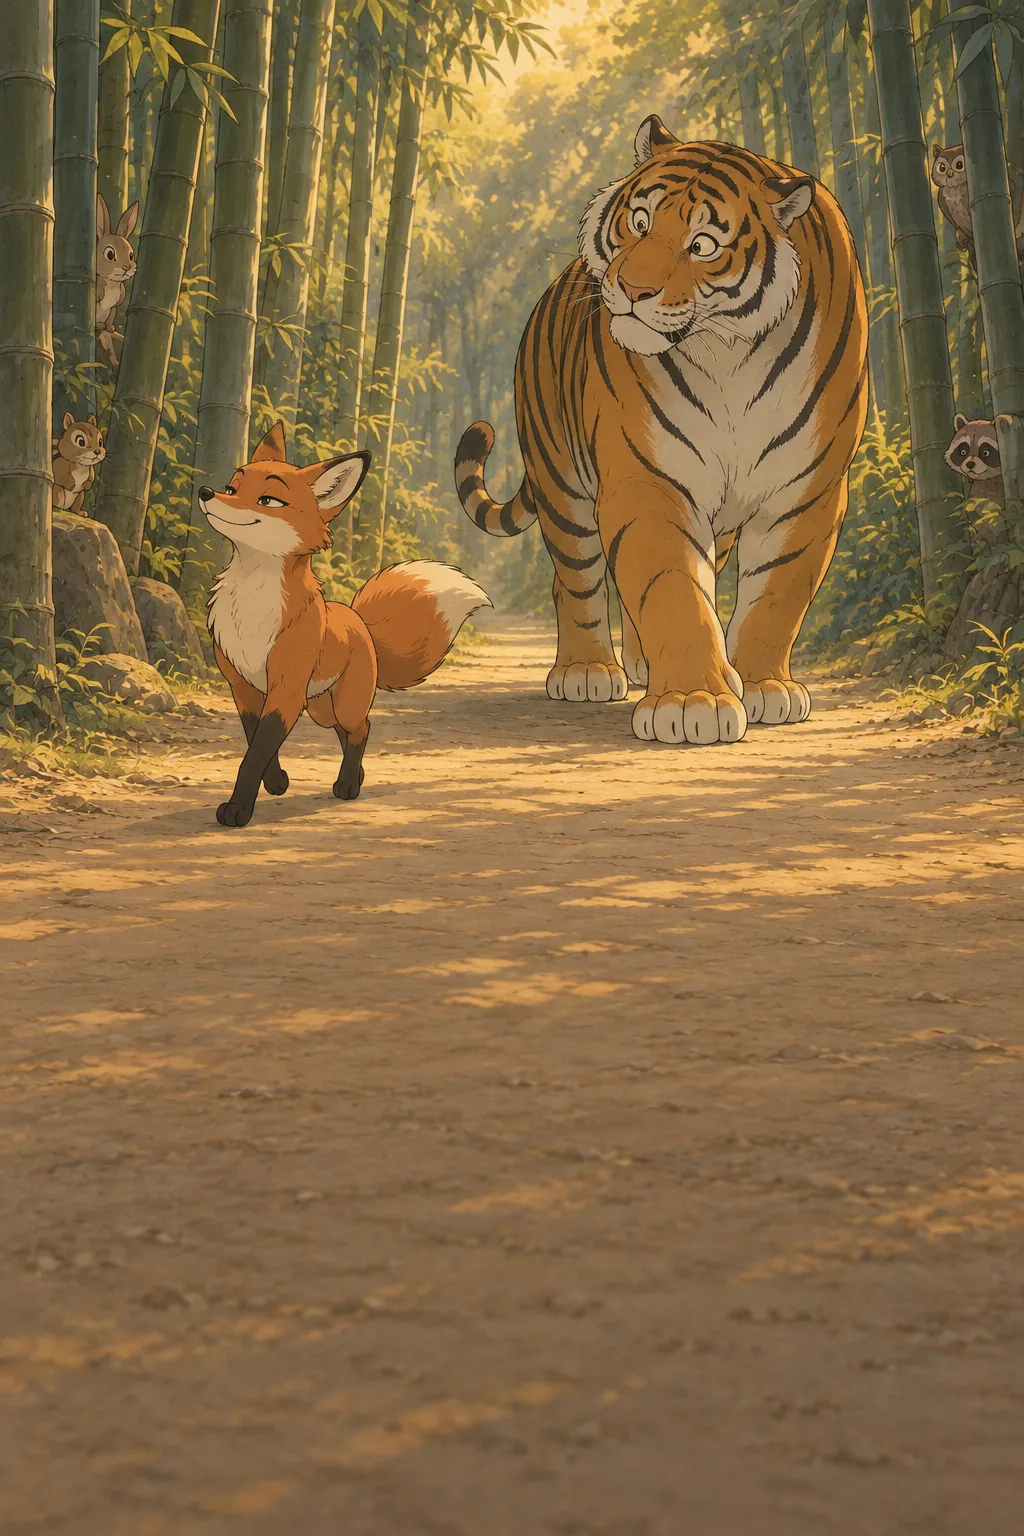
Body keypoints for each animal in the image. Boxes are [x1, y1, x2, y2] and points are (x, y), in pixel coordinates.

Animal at [201, 421, 490, 828]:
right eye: (232, 488)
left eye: (268, 501)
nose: (206, 492)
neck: (253, 605)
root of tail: (360, 621)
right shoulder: (243, 688)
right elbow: (256, 742)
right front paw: (276, 782)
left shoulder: (286, 689)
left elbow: (254, 754)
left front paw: (239, 808)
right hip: (323, 707)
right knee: (350, 733)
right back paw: (356, 776)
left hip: (342, 703)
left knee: (362, 728)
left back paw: (349, 784)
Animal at [455, 114, 868, 745]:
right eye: (640, 221)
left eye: (703, 245)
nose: (630, 290)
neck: (731, 354)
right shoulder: (650, 477)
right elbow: (672, 587)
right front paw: (695, 702)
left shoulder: (806, 489)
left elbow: (776, 594)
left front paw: (763, 686)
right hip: (561, 482)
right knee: (575, 577)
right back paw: (586, 671)